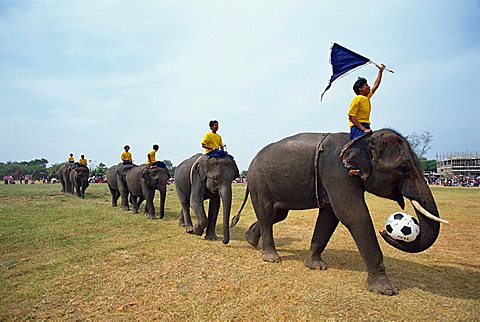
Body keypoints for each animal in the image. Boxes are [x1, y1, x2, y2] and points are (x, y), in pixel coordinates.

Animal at [231, 130, 448, 296]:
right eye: (403, 167)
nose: (385, 231)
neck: (363, 139)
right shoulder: (338, 172)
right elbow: (353, 214)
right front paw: (386, 290)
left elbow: (330, 216)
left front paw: (316, 266)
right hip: (259, 182)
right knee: (268, 214)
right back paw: (272, 258)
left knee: (278, 214)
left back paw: (250, 239)